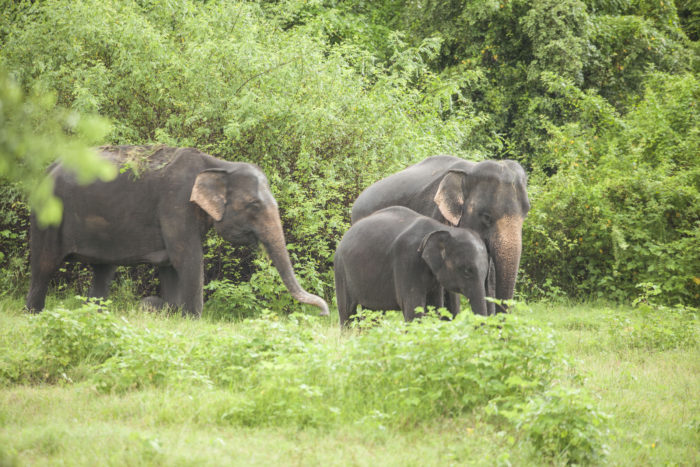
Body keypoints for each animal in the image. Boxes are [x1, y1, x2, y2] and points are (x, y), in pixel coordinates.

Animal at [27, 144, 330, 318]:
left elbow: (170, 265)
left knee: (104, 270)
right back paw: (34, 315)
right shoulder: (175, 204)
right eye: (253, 205)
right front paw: (190, 318)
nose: (325, 313)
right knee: (44, 265)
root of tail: (47, 169)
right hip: (48, 214)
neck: (219, 164)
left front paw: (167, 310)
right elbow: (188, 258)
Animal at [334, 207, 486, 328]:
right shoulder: (407, 261)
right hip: (341, 269)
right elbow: (413, 309)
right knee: (347, 311)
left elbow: (435, 307)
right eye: (466, 271)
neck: (441, 229)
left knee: (372, 311)